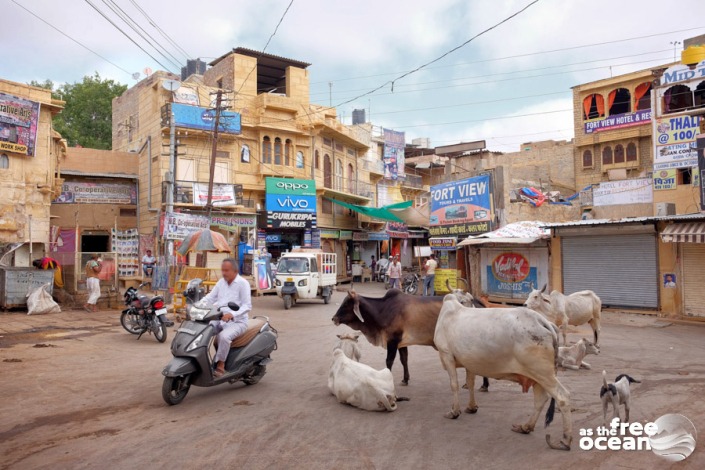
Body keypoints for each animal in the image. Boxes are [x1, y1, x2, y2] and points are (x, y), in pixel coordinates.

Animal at [434, 294, 572, 452]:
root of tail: (544, 322)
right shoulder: (469, 362)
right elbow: (470, 383)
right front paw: (471, 407)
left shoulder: (446, 355)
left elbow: (454, 385)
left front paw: (454, 411)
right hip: (537, 375)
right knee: (541, 399)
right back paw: (526, 427)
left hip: (543, 373)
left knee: (562, 397)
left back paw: (565, 440)